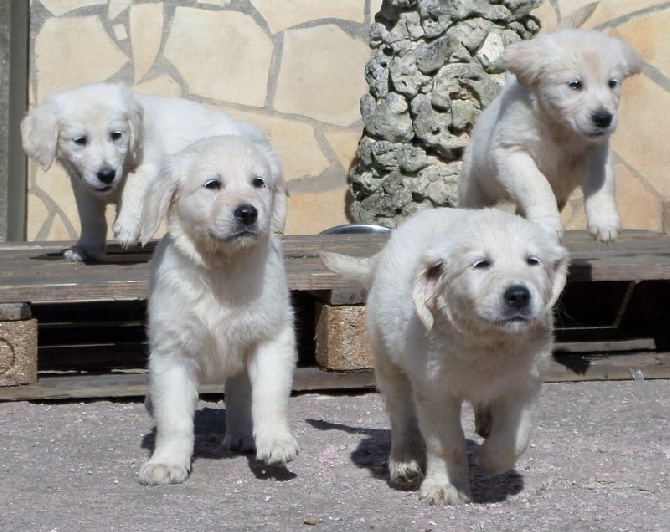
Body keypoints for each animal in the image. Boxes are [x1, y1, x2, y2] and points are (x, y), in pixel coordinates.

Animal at [21, 81, 262, 262]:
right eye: (80, 140)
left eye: (116, 135)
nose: (106, 175)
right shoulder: (82, 182)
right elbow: (89, 215)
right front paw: (87, 247)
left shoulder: (149, 163)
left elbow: (133, 186)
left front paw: (127, 227)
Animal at [138, 134, 298, 486]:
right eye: (213, 185)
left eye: (258, 182)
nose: (248, 212)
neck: (222, 267)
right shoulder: (172, 352)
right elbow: (173, 416)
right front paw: (166, 462)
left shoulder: (270, 338)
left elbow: (269, 395)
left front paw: (276, 441)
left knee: (240, 392)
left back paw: (243, 436)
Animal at [322, 207, 568, 502]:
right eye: (481, 264)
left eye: (533, 261)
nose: (519, 295)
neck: (487, 341)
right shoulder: (435, 389)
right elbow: (446, 443)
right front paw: (445, 486)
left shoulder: (524, 385)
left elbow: (514, 440)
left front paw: (489, 460)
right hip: (387, 359)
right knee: (401, 415)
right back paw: (404, 462)